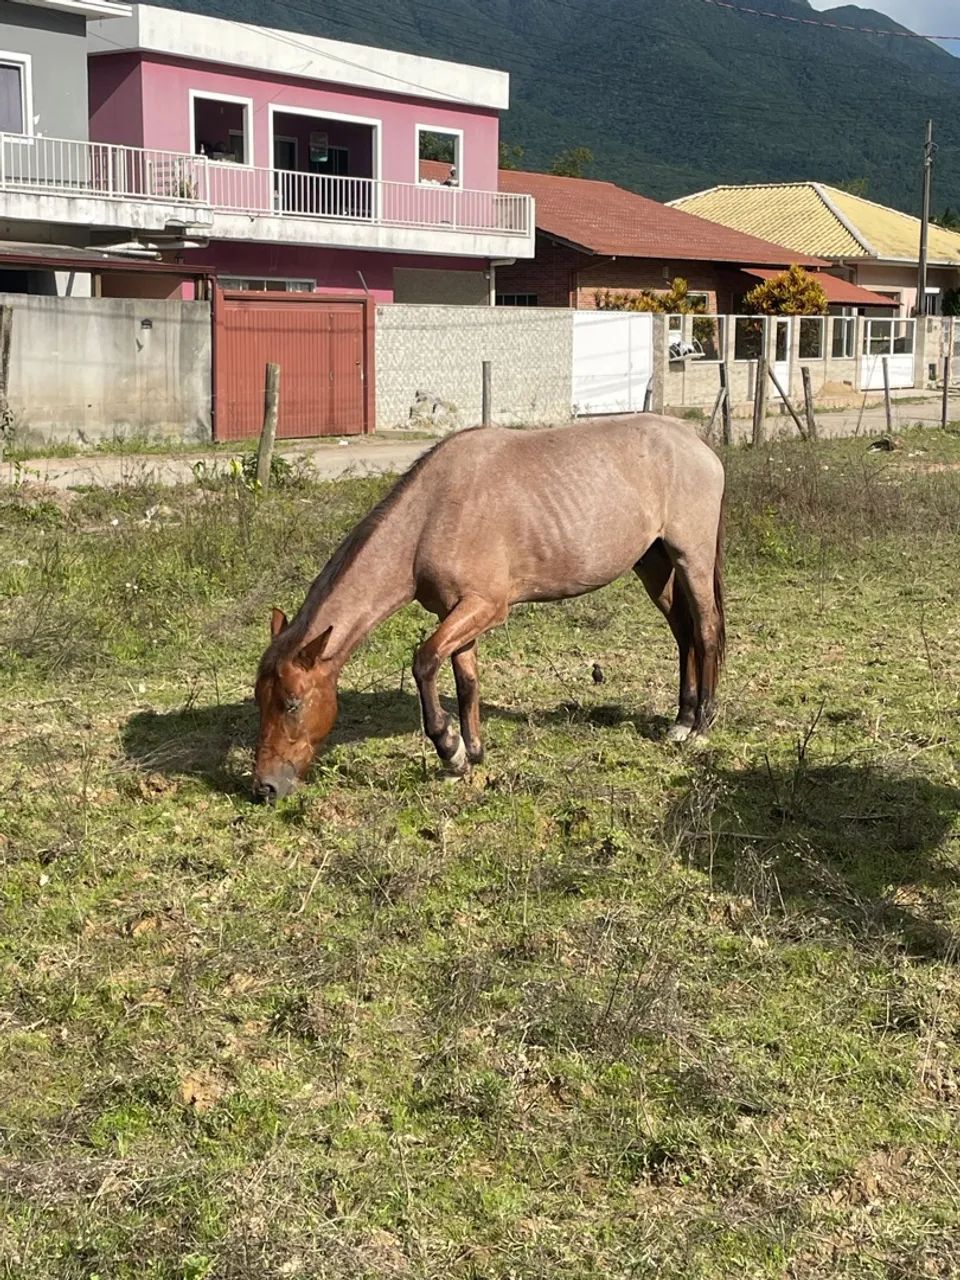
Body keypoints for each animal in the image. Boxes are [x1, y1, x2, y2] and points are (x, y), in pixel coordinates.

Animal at [253, 415, 725, 803]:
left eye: (292, 703)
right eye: (260, 700)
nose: (265, 787)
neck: (432, 516)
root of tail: (694, 440)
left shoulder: (486, 606)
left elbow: (424, 662)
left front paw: (450, 749)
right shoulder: (455, 613)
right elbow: (466, 682)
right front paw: (472, 753)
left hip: (692, 558)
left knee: (705, 630)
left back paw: (700, 726)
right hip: (654, 564)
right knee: (683, 632)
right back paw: (681, 719)